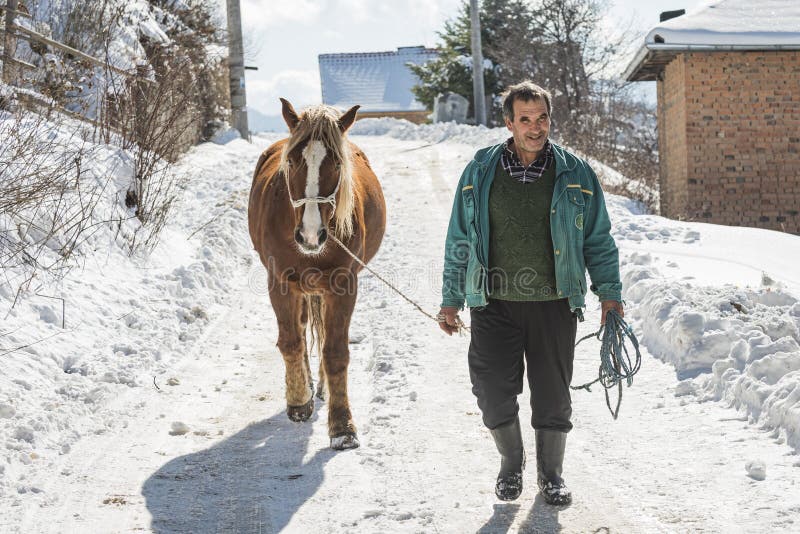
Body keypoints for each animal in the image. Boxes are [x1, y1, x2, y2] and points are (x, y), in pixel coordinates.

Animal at [250, 98, 388, 450]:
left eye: (337, 163)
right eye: (292, 161)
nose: (310, 234)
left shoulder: (343, 284)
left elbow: (335, 351)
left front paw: (342, 426)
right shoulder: (280, 283)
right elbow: (291, 342)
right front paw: (299, 400)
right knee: (301, 330)